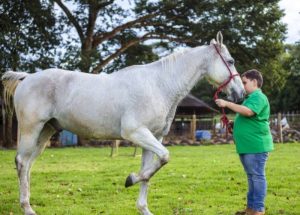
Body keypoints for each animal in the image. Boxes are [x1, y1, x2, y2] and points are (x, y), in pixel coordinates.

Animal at [1, 32, 244, 215]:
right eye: (231, 61)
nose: (240, 94)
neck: (159, 85)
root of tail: (27, 77)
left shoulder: (154, 138)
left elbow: (150, 170)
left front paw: (143, 206)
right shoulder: (135, 133)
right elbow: (163, 158)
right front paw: (130, 179)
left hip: (46, 132)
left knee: (28, 164)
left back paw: (27, 202)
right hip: (31, 129)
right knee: (21, 162)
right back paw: (27, 207)